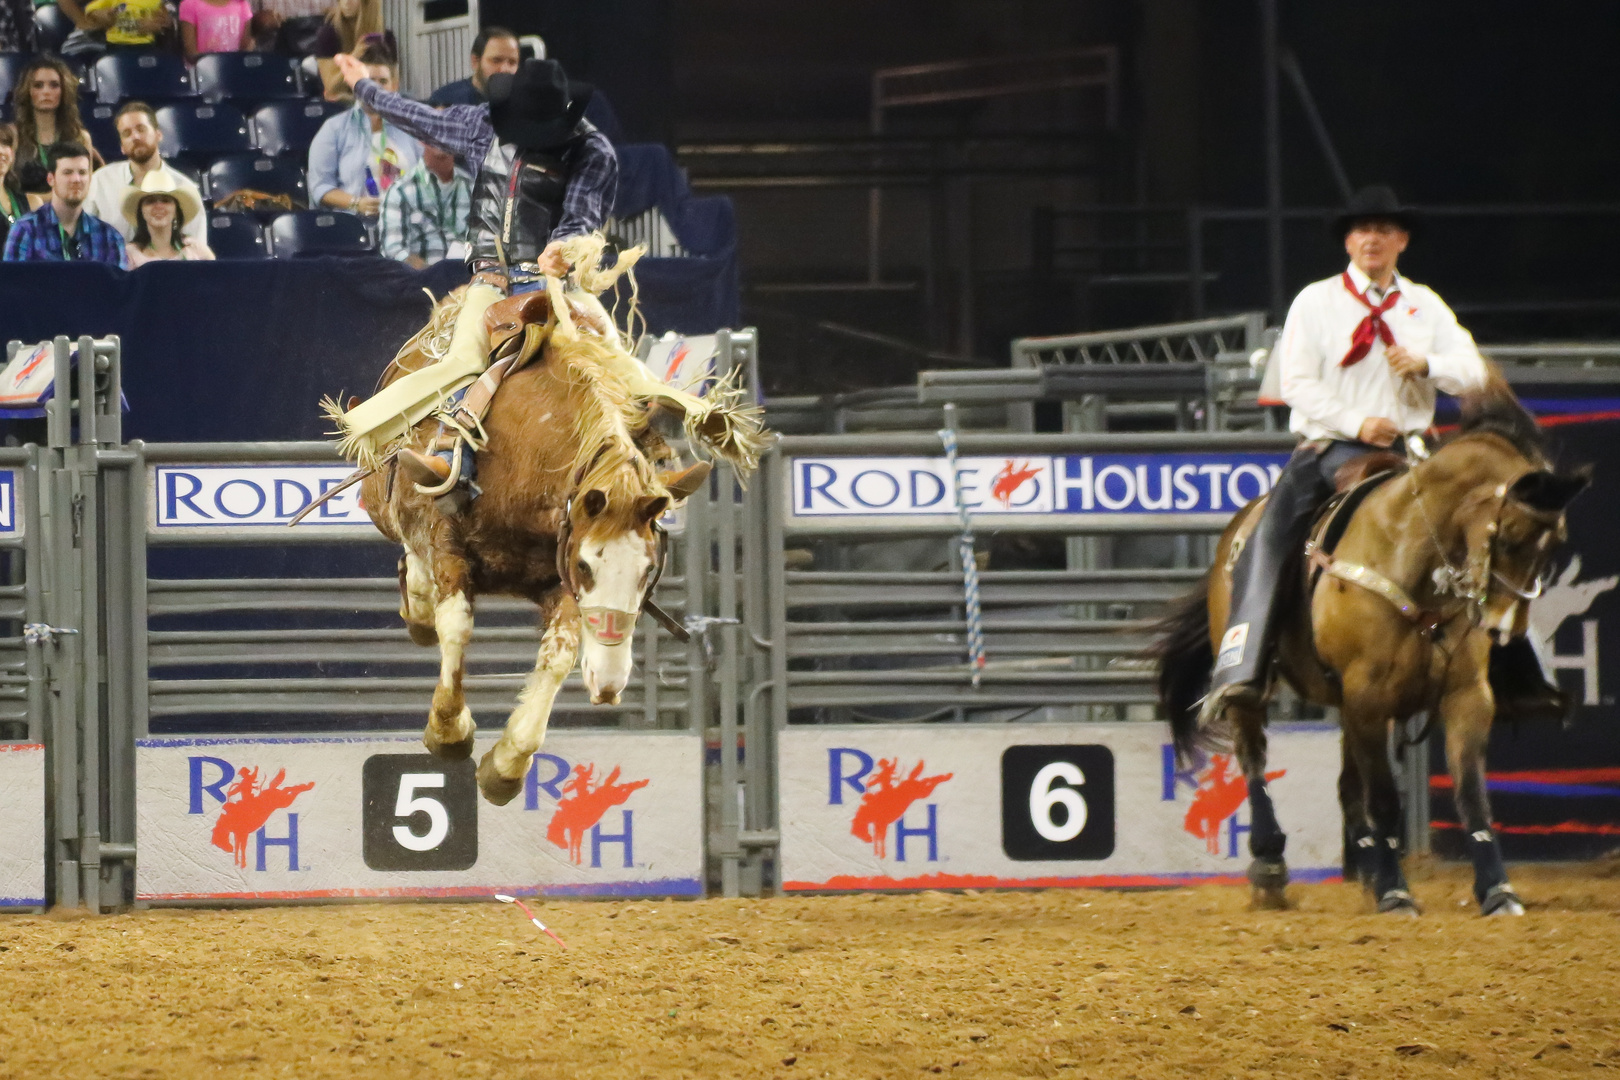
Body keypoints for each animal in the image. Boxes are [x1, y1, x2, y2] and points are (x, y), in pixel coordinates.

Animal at [1153, 375, 1594, 919]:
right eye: (1508, 536)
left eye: (1556, 543)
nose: (1502, 629)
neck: (1413, 562)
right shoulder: (1367, 696)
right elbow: (1383, 798)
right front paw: (1396, 892)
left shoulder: (1465, 695)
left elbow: (1471, 794)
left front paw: (1497, 889)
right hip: (1257, 680)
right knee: (1254, 756)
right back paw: (1271, 865)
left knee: (1346, 788)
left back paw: (1364, 872)